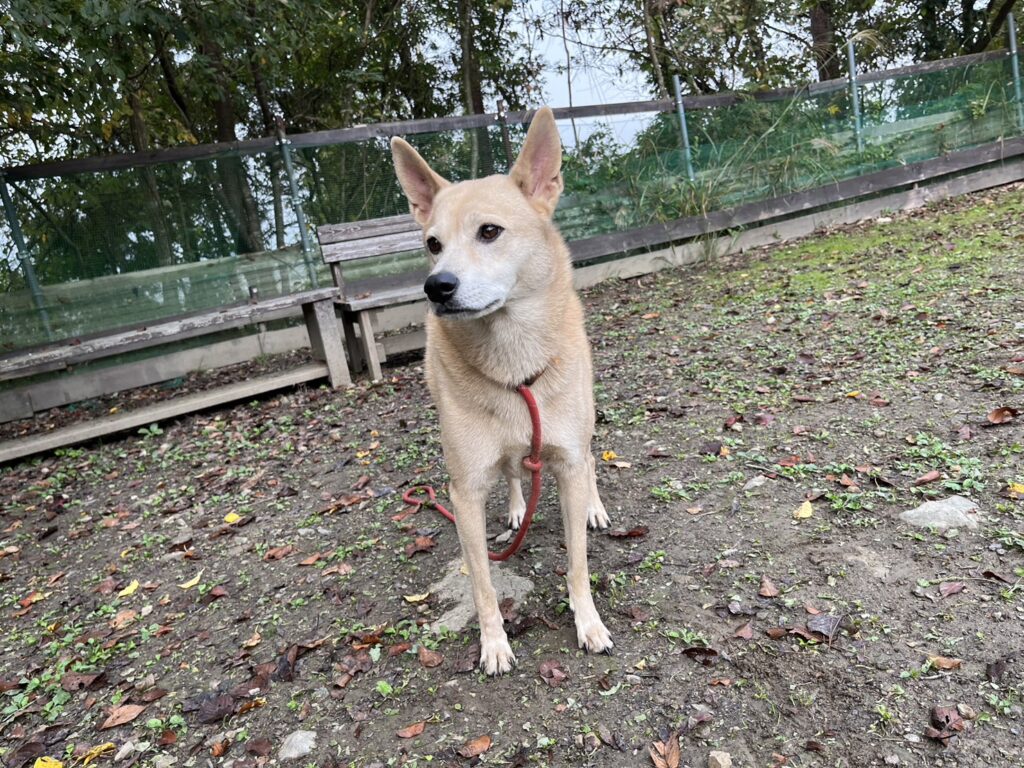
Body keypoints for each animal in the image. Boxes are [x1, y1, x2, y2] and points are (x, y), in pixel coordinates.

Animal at [390, 107, 612, 675]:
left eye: (489, 232)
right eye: (432, 244)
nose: (437, 286)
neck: (514, 365)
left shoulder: (566, 459)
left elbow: (577, 560)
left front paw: (588, 623)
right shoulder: (463, 491)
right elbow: (483, 584)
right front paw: (493, 642)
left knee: (589, 459)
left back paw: (595, 507)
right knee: (513, 471)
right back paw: (515, 508)